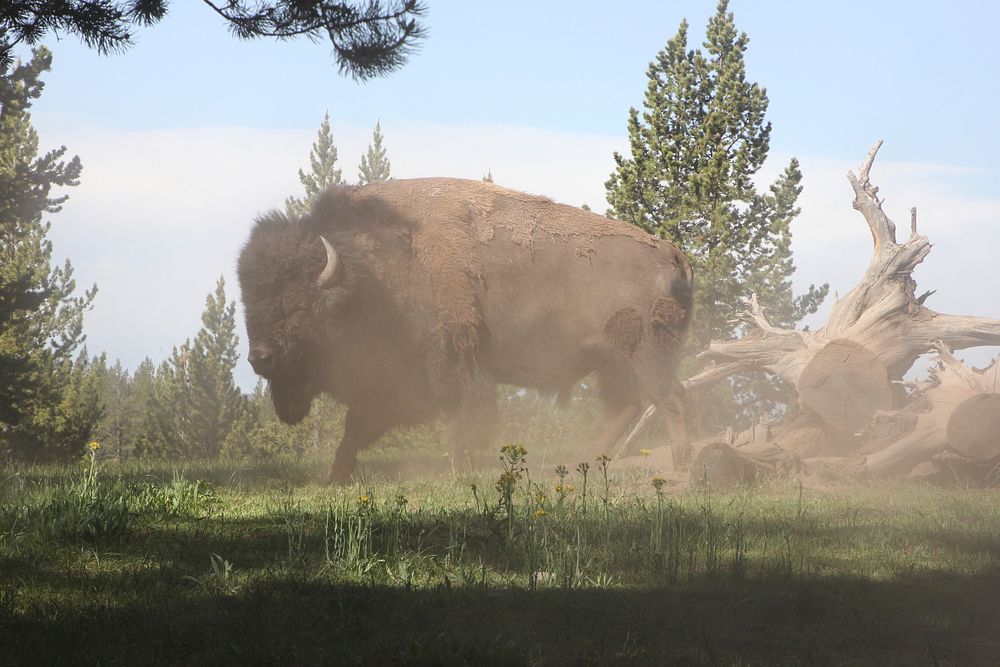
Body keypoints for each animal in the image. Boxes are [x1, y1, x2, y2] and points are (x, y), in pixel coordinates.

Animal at [237, 177, 692, 480]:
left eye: (296, 305)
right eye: (249, 302)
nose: (260, 358)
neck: (374, 269)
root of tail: (671, 252)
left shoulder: (452, 362)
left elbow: (463, 417)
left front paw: (460, 468)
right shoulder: (390, 380)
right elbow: (357, 427)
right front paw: (334, 476)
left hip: (644, 353)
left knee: (669, 397)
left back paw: (684, 464)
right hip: (610, 361)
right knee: (625, 407)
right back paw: (581, 461)